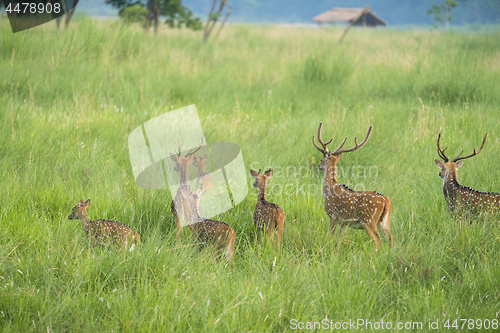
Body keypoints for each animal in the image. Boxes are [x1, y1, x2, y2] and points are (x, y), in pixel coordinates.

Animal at [312, 122, 390, 252]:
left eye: (321, 159)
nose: (319, 166)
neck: (328, 190)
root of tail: (386, 201)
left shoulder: (332, 215)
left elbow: (331, 236)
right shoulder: (344, 222)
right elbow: (339, 238)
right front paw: (337, 251)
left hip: (368, 220)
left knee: (377, 239)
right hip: (384, 221)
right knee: (390, 238)